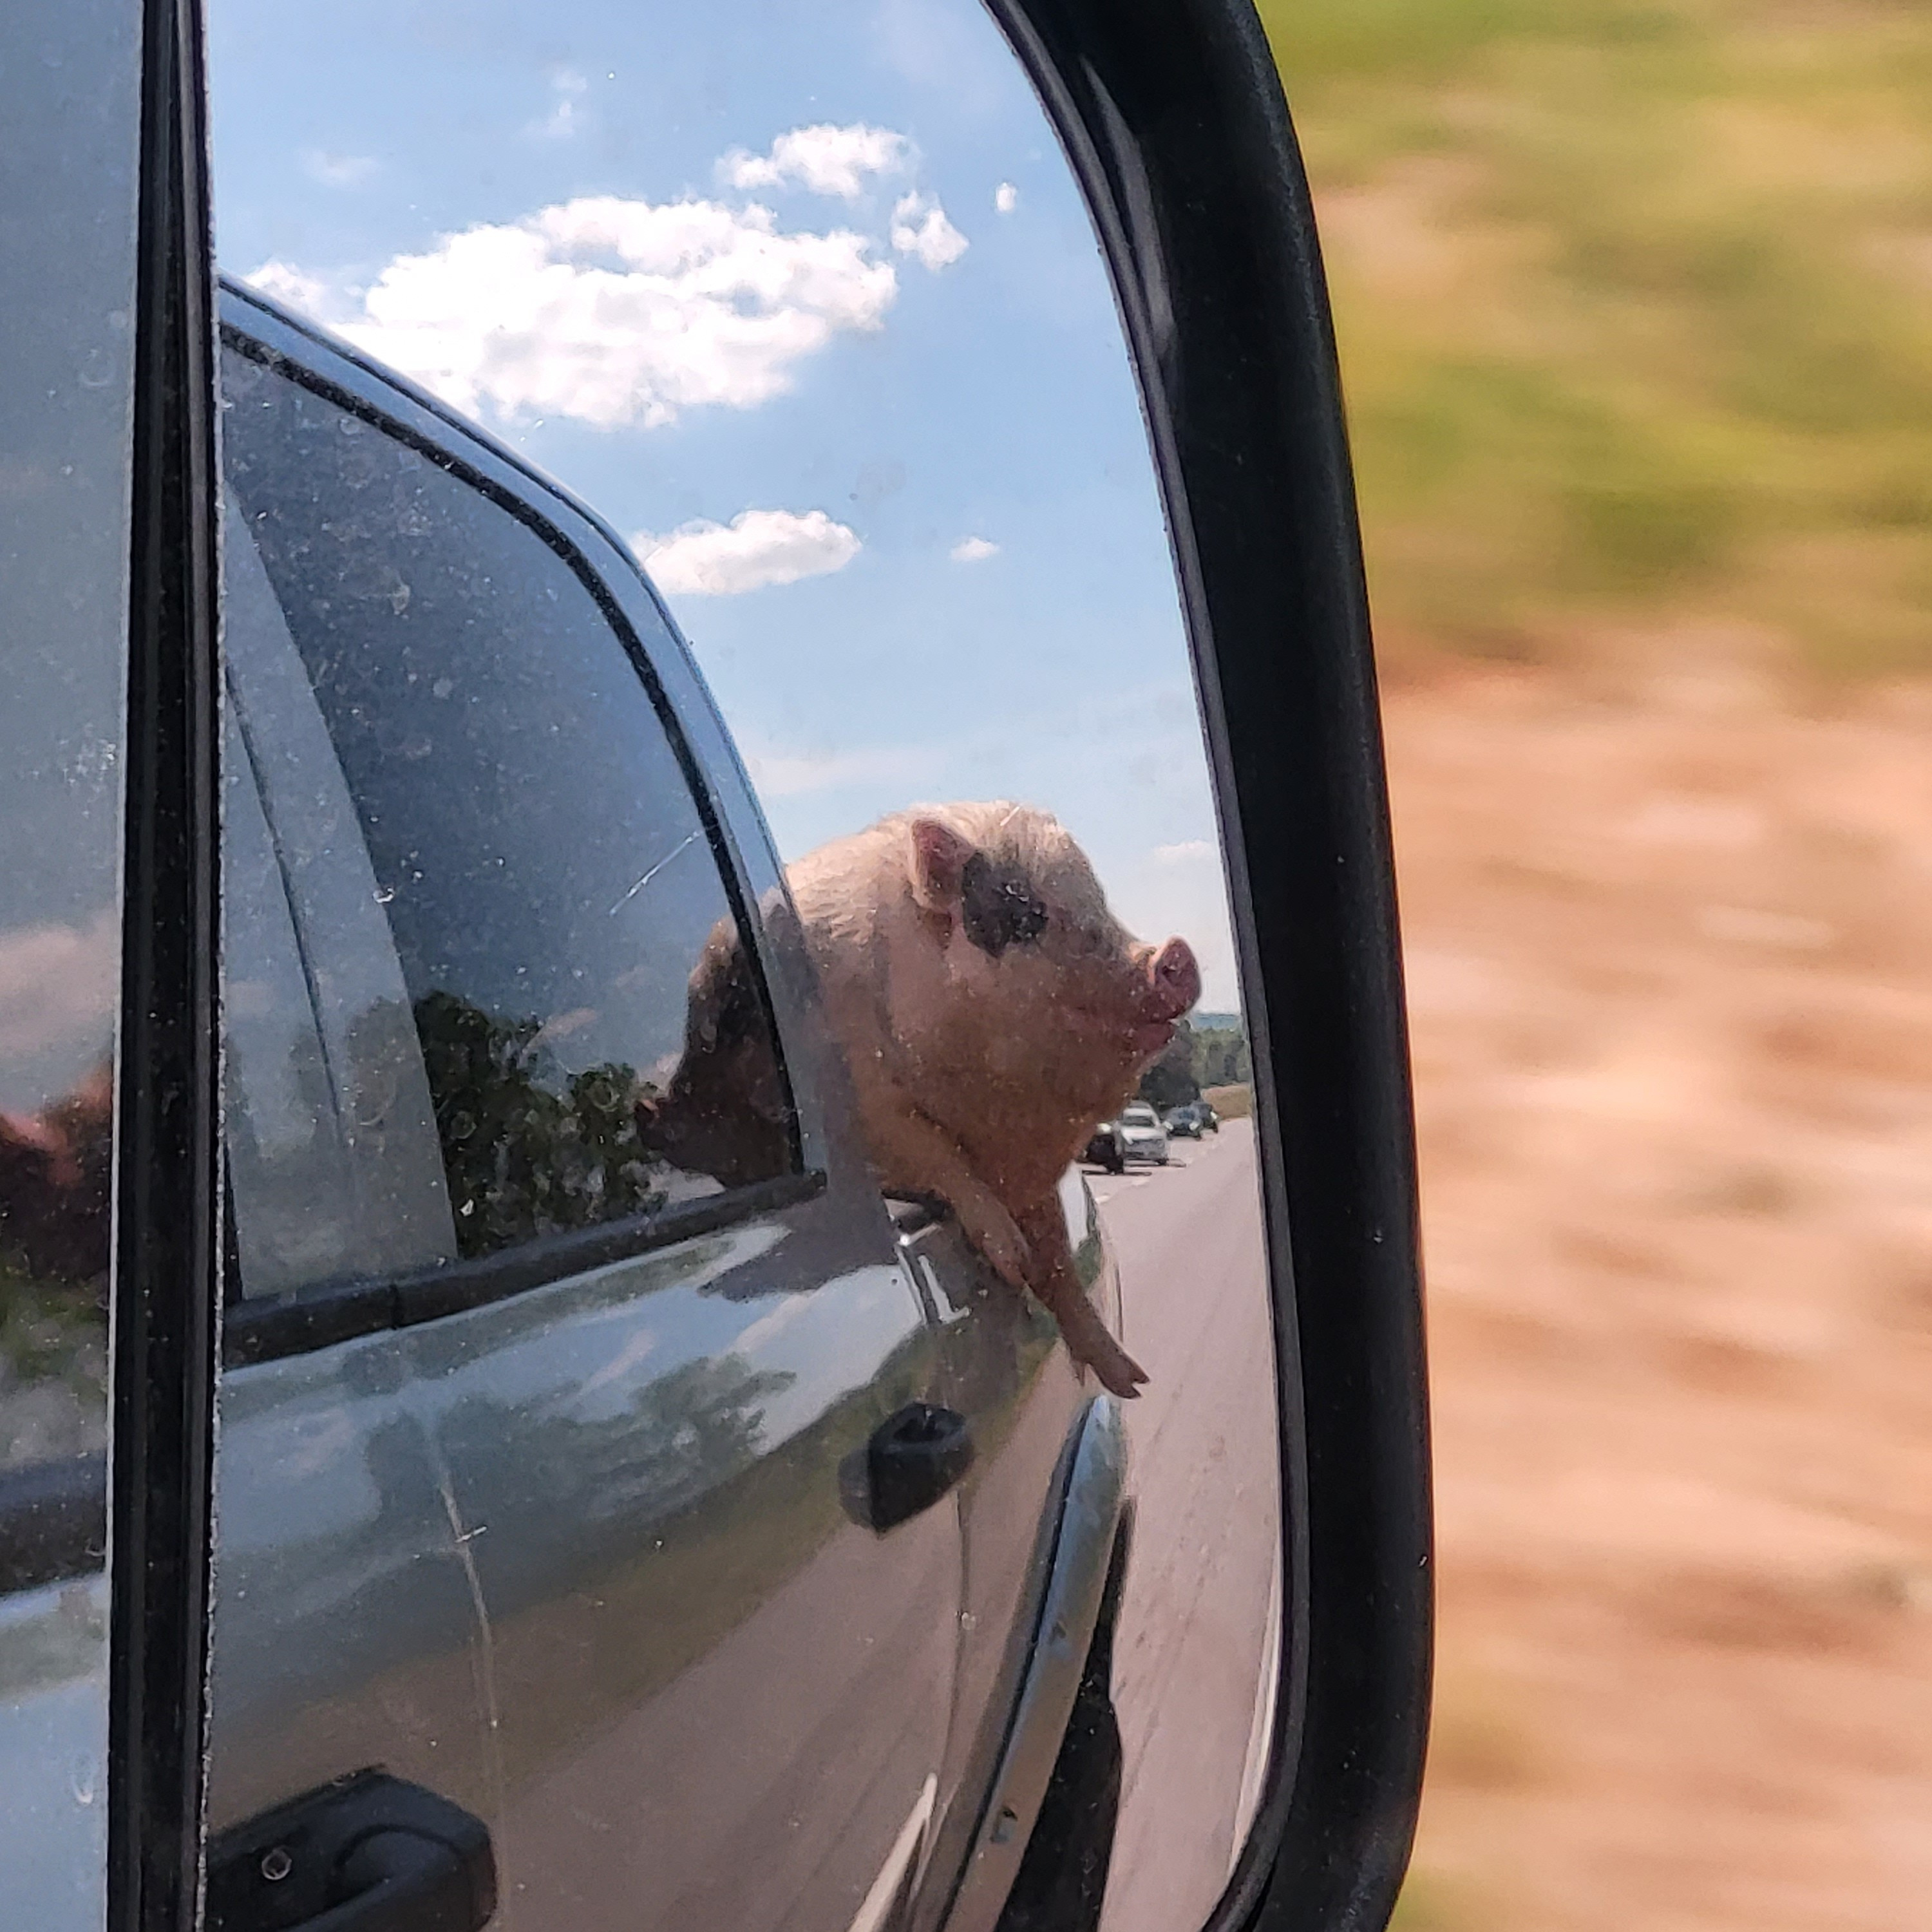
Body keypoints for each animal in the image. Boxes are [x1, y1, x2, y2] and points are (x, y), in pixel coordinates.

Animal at [642, 802, 1199, 1397]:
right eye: (1028, 912)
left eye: (1097, 898)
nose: (1176, 954)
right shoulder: (868, 1116)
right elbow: (937, 1156)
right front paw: (1009, 1260)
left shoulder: (1027, 1168)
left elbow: (1057, 1261)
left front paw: (1132, 1381)